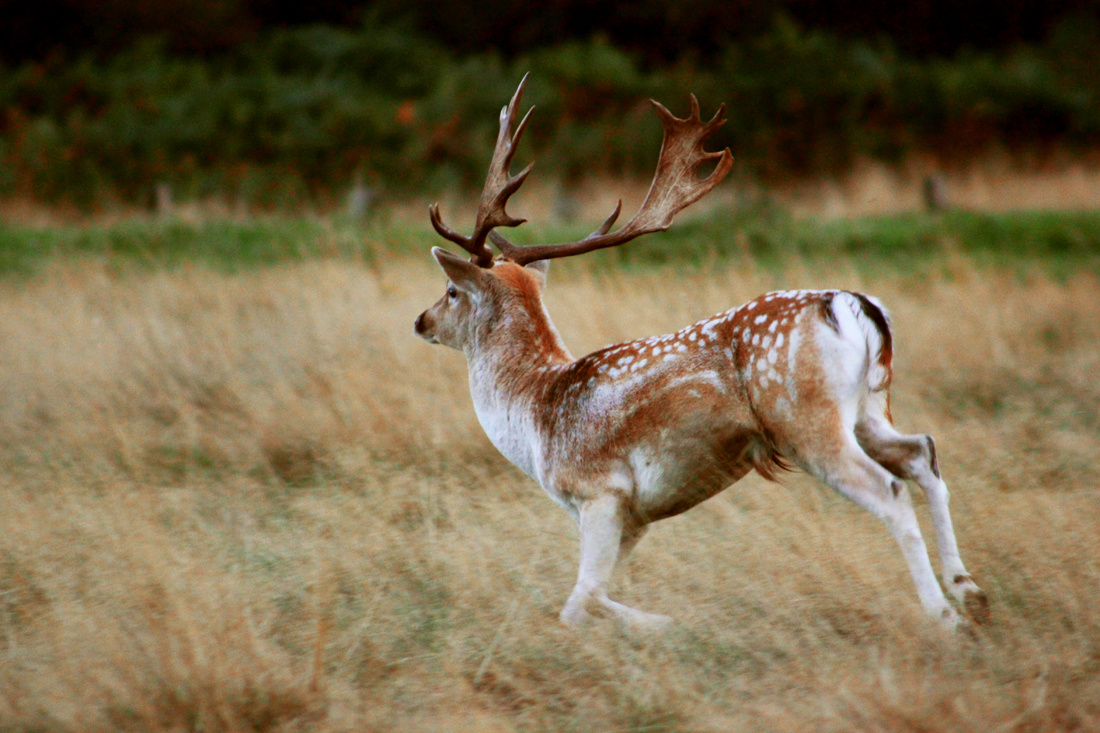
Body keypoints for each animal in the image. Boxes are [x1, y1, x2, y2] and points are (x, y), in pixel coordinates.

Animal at [414, 75, 989, 632]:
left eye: (451, 291)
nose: (421, 320)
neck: (536, 414)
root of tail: (852, 304)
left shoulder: (601, 494)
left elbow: (581, 601)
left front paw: (669, 624)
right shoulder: (635, 518)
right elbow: (583, 599)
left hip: (806, 421)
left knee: (890, 488)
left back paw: (943, 616)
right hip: (870, 409)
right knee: (922, 452)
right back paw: (971, 593)